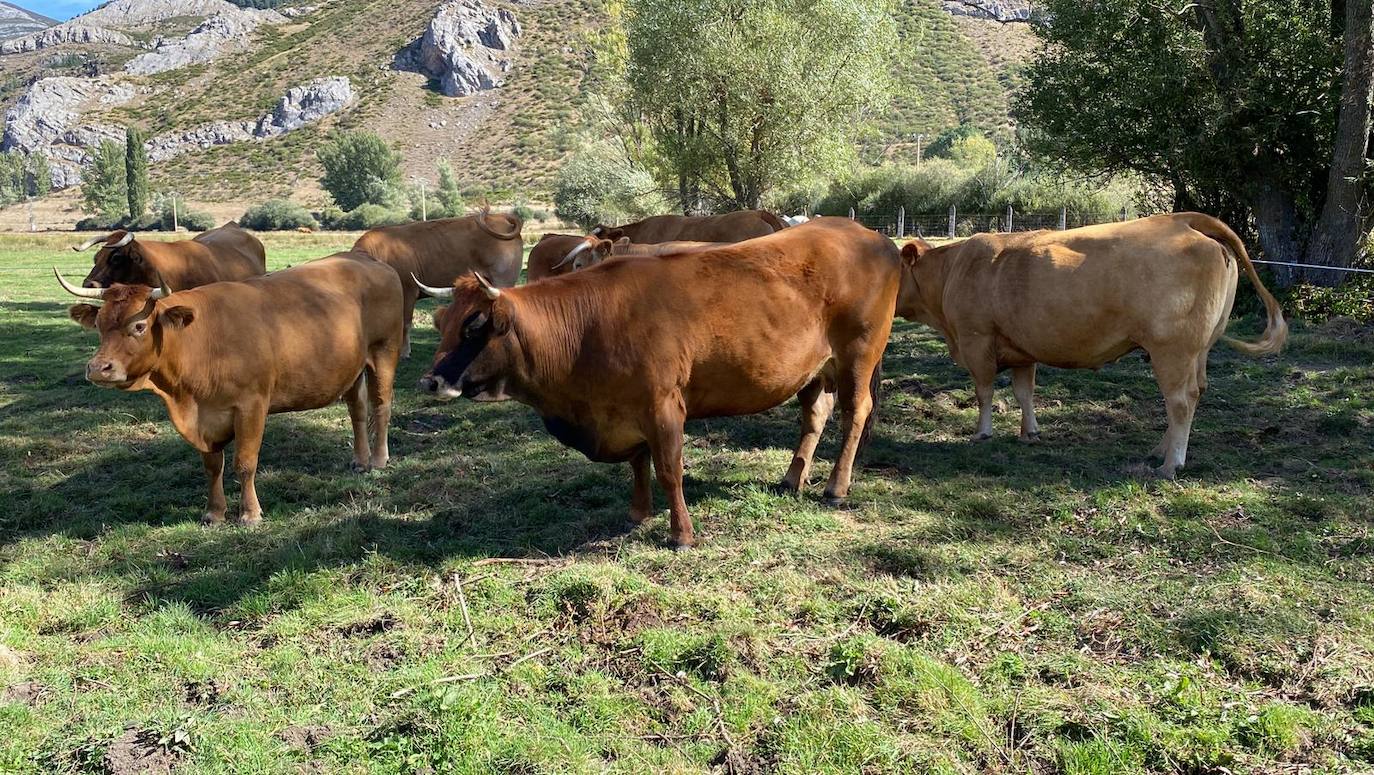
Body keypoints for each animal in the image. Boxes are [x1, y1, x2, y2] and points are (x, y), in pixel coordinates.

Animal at [59, 254, 401, 527]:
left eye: (139, 327)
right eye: (99, 324)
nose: (98, 368)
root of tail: (368, 260)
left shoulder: (251, 406)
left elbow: (245, 463)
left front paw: (250, 514)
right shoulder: (204, 417)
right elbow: (212, 466)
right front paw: (214, 512)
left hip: (384, 352)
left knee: (381, 405)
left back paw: (379, 459)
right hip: (352, 368)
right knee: (357, 410)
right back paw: (359, 460)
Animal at [406, 214, 901, 546]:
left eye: (474, 326)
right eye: (441, 321)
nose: (430, 382)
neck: (589, 326)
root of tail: (869, 234)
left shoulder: (663, 406)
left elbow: (668, 470)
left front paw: (681, 534)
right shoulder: (624, 408)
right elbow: (638, 464)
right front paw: (637, 514)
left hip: (858, 356)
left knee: (855, 414)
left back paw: (836, 487)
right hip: (815, 369)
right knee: (815, 415)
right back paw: (791, 479)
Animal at [890, 211, 1286, 478]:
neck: (952, 270)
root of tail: (1182, 220)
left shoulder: (976, 341)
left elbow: (984, 392)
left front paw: (982, 433)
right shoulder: (1022, 349)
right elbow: (1024, 392)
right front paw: (1029, 433)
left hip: (1171, 349)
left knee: (1180, 400)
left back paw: (1171, 463)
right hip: (1198, 351)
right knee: (1196, 392)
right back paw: (1159, 450)